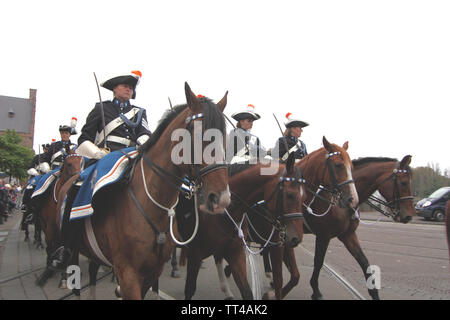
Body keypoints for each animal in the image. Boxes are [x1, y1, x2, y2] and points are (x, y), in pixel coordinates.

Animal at [55, 83, 230, 300]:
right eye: (198, 135)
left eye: (224, 137)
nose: (221, 198)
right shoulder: (128, 273)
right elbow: (85, 136)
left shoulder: (151, 271)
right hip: (73, 251)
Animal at [178, 152, 304, 300]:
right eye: (290, 195)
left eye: (304, 196)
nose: (296, 238)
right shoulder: (195, 254)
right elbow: (189, 289)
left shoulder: (236, 252)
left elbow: (249, 291)